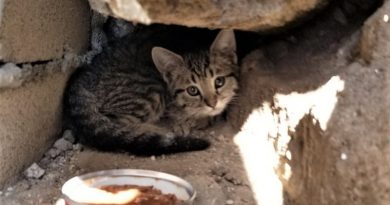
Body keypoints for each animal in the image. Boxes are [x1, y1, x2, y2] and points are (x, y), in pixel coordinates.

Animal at [64, 28, 238, 155]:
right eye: (192, 90)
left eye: (219, 81)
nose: (213, 103)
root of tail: (82, 77)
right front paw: (184, 122)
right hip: (149, 89)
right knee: (116, 124)